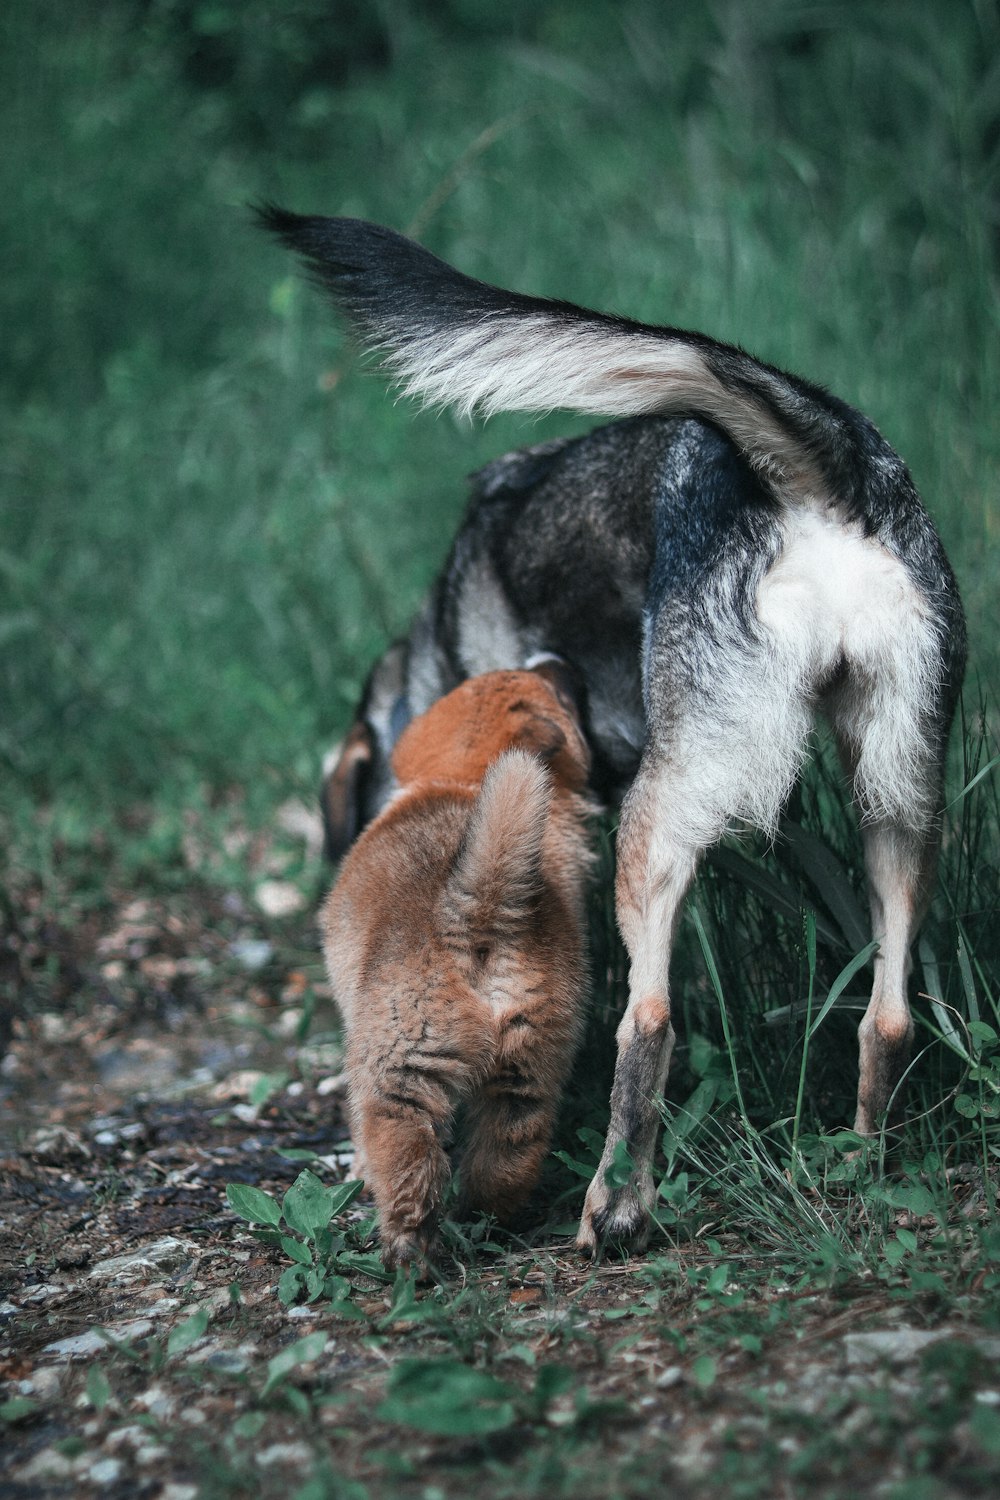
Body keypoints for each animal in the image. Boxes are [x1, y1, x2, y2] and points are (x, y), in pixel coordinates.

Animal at [322, 663, 593, 1260]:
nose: (560, 665)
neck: (461, 779)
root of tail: (478, 915)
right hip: (527, 1069)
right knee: (508, 1156)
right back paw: (483, 1220)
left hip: (398, 1067)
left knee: (407, 1159)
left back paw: (406, 1253)